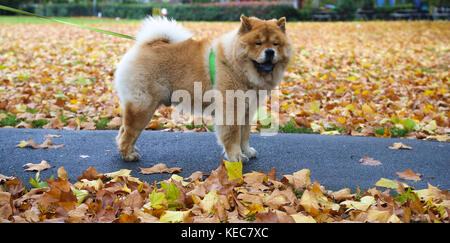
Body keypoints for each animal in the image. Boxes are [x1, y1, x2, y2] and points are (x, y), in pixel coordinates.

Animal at [114, 15, 294, 163]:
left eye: (276, 44)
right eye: (258, 43)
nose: (270, 51)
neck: (235, 65)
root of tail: (147, 44)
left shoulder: (248, 110)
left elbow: (245, 134)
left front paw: (247, 151)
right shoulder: (232, 109)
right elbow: (233, 134)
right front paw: (236, 157)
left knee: (123, 130)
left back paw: (130, 150)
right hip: (143, 106)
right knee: (129, 131)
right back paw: (128, 155)